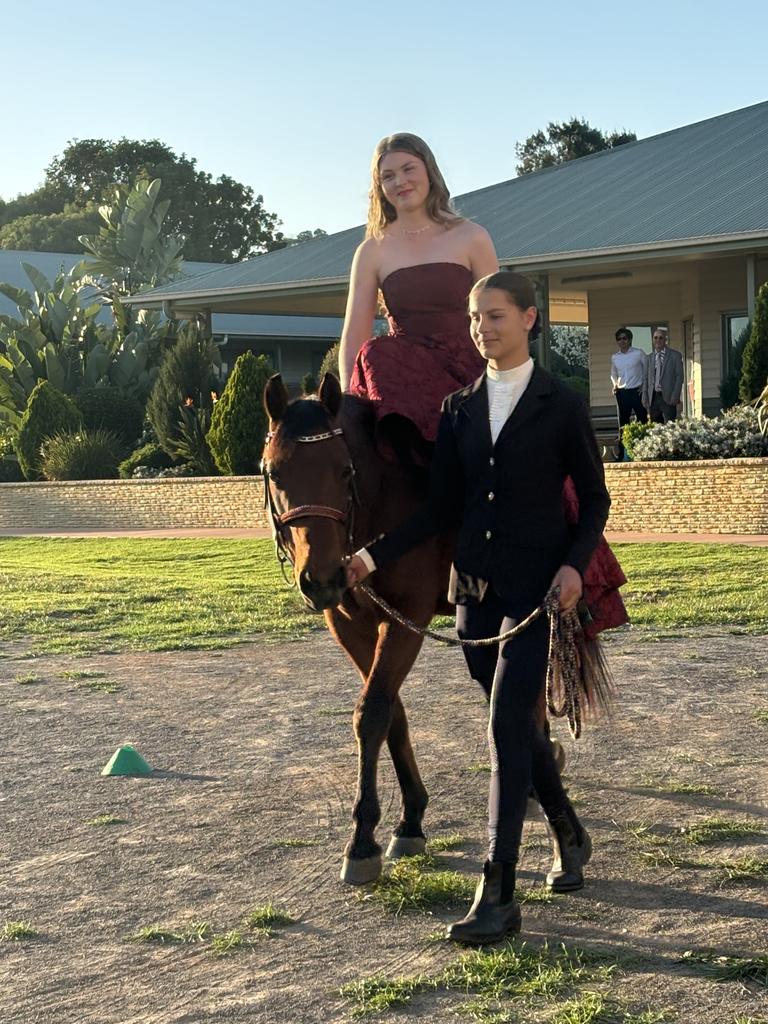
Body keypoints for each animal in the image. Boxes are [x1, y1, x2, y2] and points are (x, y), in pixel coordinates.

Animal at [264, 372, 456, 884]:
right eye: (274, 474)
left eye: (345, 471)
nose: (321, 580)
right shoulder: (349, 624)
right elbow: (391, 711)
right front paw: (411, 818)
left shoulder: (407, 619)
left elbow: (371, 713)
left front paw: (363, 839)